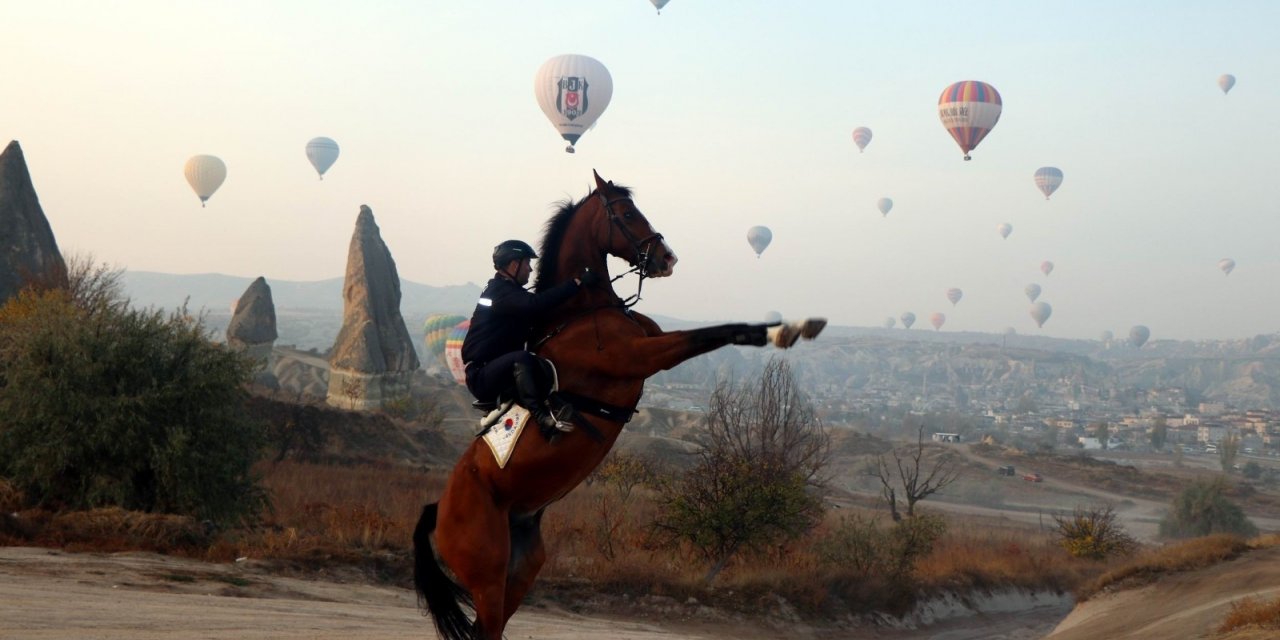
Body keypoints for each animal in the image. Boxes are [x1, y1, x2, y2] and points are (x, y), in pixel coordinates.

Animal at [414, 170, 824, 640]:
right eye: (627, 214)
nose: (667, 258)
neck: (580, 310)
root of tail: (440, 509)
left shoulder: (651, 344)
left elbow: (720, 331)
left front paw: (791, 327)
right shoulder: (644, 355)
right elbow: (710, 333)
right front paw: (785, 331)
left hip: (520, 566)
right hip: (486, 570)